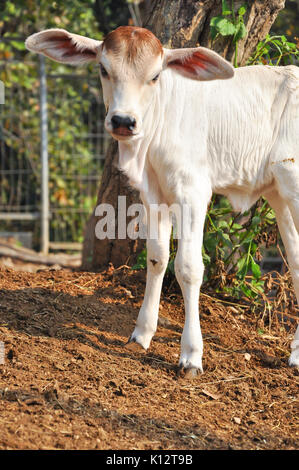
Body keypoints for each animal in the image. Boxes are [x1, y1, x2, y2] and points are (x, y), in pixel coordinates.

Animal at [26, 27, 299, 376]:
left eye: (155, 75)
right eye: (103, 69)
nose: (123, 121)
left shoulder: (193, 192)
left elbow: (188, 267)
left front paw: (191, 355)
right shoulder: (152, 194)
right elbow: (157, 257)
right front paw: (141, 334)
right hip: (280, 193)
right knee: (297, 261)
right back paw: (296, 353)